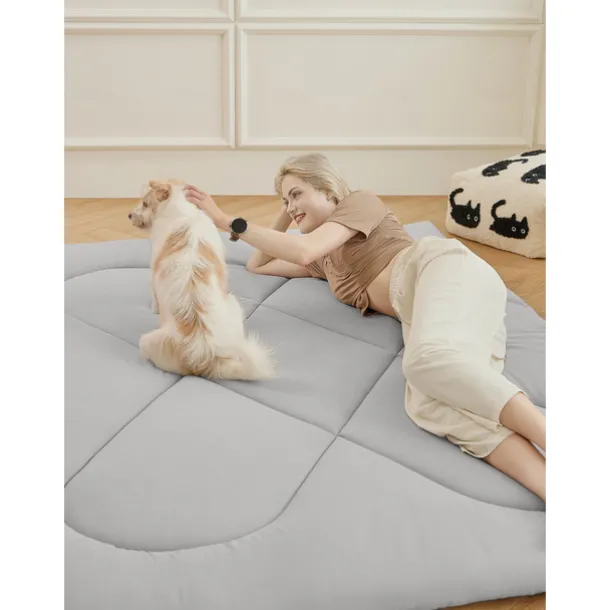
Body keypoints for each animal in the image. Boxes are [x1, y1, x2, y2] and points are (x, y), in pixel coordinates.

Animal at [128, 179, 275, 380]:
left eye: (144, 203)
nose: (129, 215)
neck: (182, 211)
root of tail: (205, 355)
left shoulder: (153, 271)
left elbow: (155, 298)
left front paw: (154, 309)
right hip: (234, 305)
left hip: (146, 340)